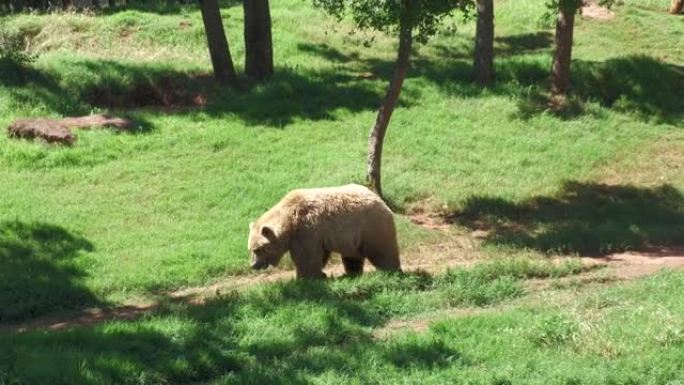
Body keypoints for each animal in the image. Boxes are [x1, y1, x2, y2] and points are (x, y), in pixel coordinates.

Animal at [248, 183, 400, 276]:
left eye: (258, 249)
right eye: (250, 249)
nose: (253, 265)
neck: (289, 221)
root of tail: (380, 200)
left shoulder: (305, 230)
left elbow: (306, 257)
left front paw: (307, 277)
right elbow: (319, 255)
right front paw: (320, 274)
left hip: (370, 227)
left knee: (381, 250)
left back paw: (390, 270)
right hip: (352, 238)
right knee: (352, 256)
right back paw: (351, 273)